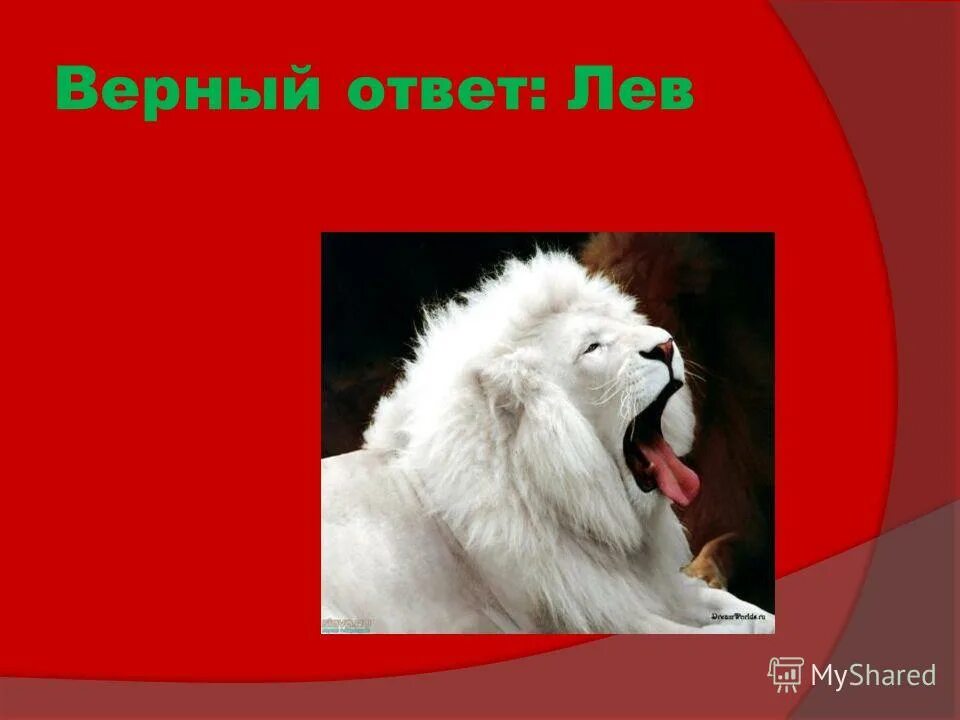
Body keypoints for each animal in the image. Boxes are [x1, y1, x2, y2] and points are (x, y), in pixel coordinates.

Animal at [321, 251, 773, 633]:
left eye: (623, 325)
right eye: (592, 347)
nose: (666, 345)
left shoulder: (654, 589)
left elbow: (740, 609)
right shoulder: (599, 617)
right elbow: (730, 629)